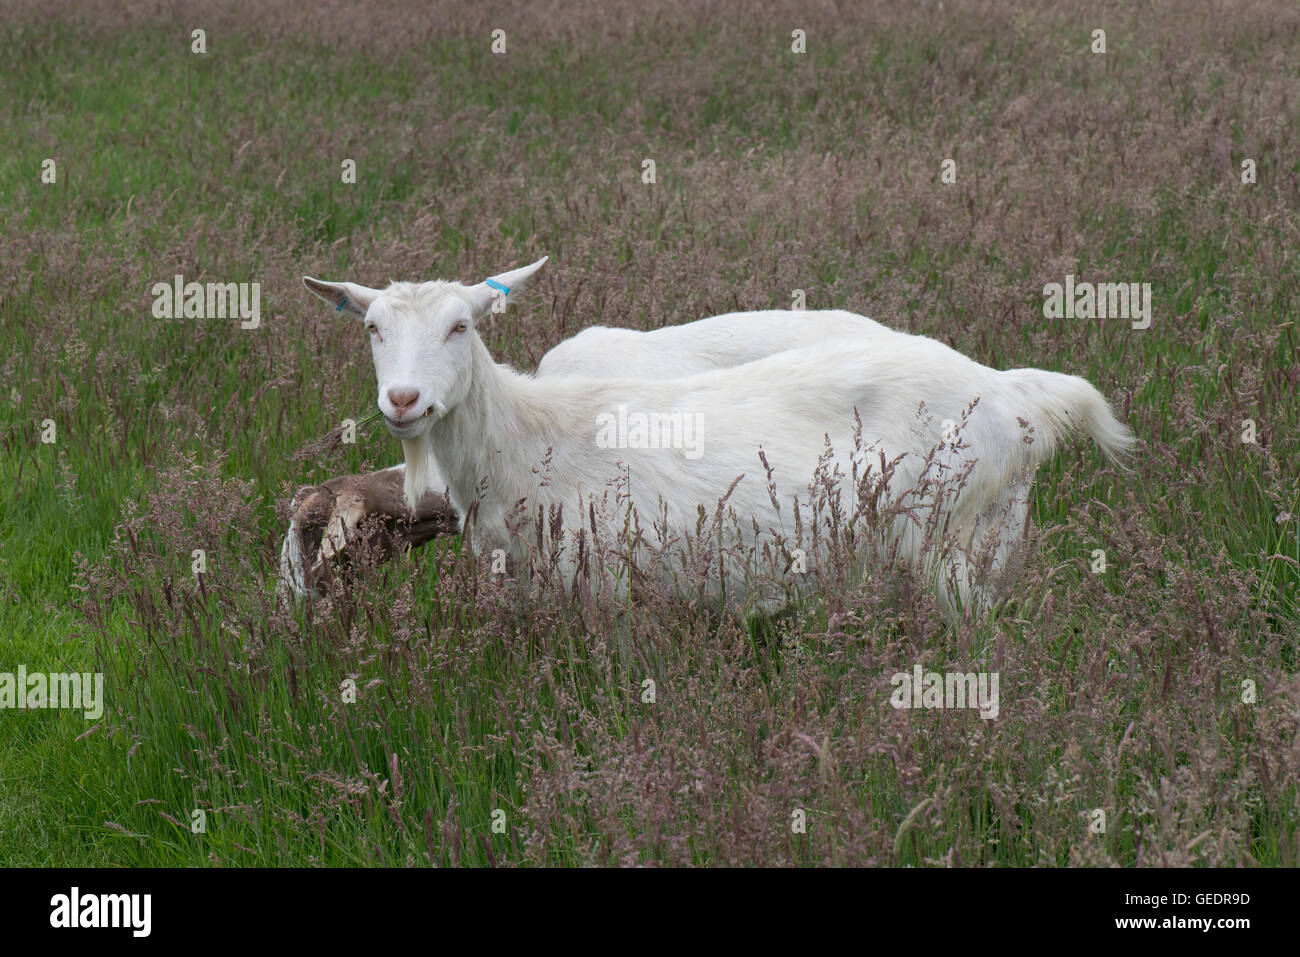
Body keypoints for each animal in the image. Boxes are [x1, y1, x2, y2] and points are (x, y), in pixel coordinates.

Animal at [299, 254, 1133, 616]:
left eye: (460, 326)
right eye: (372, 329)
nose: (403, 399)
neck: (530, 438)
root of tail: (1018, 393)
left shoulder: (612, 592)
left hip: (956, 544)